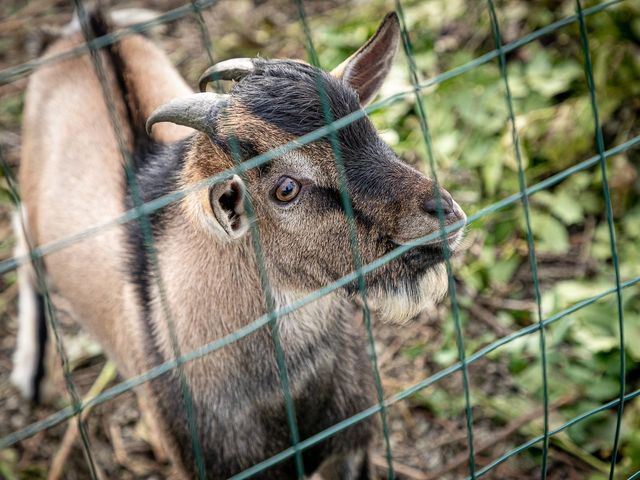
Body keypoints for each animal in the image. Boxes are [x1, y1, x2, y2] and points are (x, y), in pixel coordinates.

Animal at [11, 8, 464, 480]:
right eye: (286, 188)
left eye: (370, 130)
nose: (444, 212)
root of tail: (85, 25)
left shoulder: (350, 446)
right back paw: (32, 375)